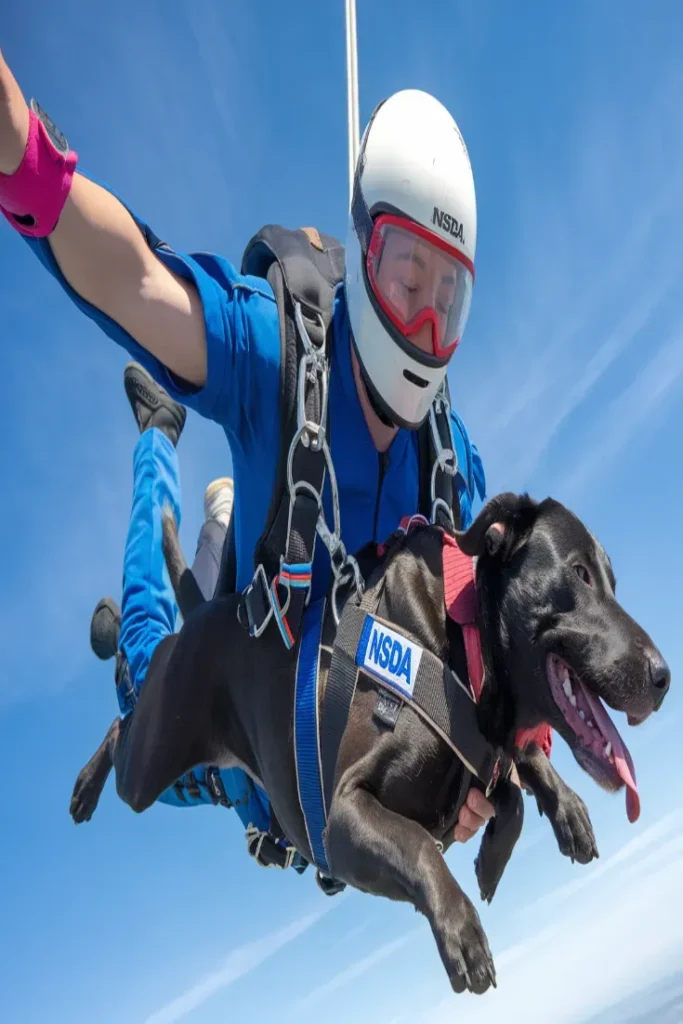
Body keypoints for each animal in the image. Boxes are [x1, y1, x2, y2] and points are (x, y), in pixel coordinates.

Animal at [69, 491, 667, 995]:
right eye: (580, 573)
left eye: (611, 581)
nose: (663, 677)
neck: (459, 637)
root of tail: (205, 613)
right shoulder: (342, 817)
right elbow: (419, 842)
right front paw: (462, 928)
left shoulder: (484, 750)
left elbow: (512, 787)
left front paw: (525, 832)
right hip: (151, 756)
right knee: (123, 726)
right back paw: (87, 773)